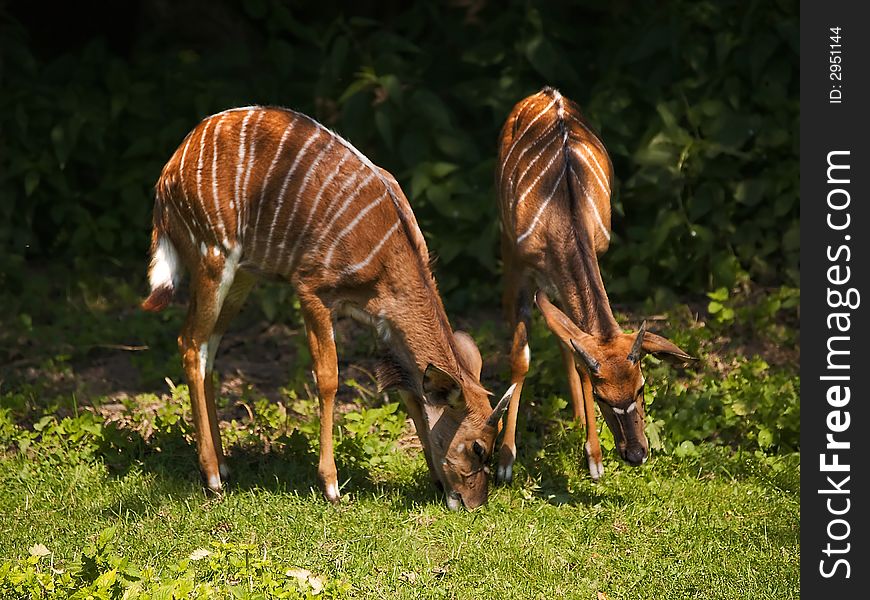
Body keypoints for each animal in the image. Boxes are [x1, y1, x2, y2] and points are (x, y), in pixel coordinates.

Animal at [140, 105, 516, 508]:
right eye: (478, 448)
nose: (475, 503)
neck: (388, 260)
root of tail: (168, 172)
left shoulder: (380, 322)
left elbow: (409, 392)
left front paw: (433, 479)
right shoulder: (312, 289)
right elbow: (329, 379)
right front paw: (332, 485)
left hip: (243, 274)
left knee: (208, 348)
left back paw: (224, 466)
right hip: (213, 255)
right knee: (190, 343)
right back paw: (212, 477)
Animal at [498, 89, 696, 482]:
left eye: (641, 387)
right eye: (605, 399)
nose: (635, 453)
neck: (564, 215)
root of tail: (546, 91)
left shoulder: (594, 252)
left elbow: (577, 351)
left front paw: (594, 457)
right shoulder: (521, 264)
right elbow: (521, 358)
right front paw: (505, 460)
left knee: (565, 339)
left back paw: (576, 420)